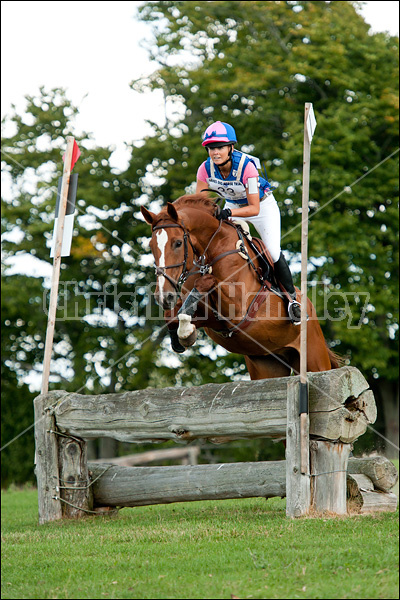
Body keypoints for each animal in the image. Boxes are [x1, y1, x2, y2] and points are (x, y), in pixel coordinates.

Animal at [141, 193, 340, 380]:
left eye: (178, 243)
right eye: (151, 246)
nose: (163, 296)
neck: (212, 247)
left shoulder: (237, 310)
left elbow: (207, 285)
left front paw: (185, 331)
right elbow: (172, 315)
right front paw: (182, 336)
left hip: (313, 359)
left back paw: (296, 309)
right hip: (267, 363)